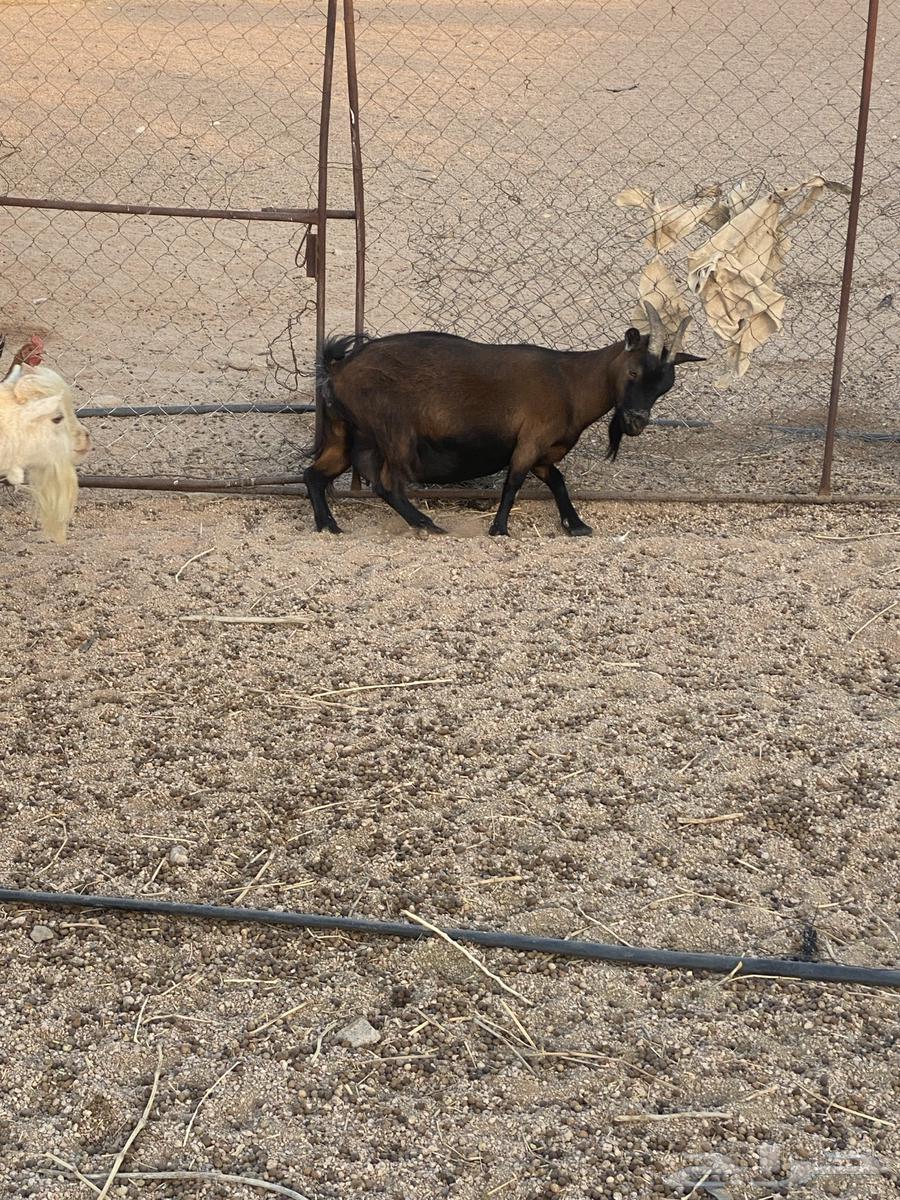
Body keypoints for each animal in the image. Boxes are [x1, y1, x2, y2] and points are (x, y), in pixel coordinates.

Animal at [304, 303, 704, 536]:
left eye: (666, 385)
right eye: (634, 372)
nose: (636, 422)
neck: (570, 382)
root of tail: (339, 370)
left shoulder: (544, 451)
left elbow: (557, 481)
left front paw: (575, 525)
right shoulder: (530, 440)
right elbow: (513, 482)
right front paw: (499, 528)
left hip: (344, 434)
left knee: (314, 475)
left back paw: (329, 525)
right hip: (395, 434)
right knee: (387, 483)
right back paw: (427, 524)